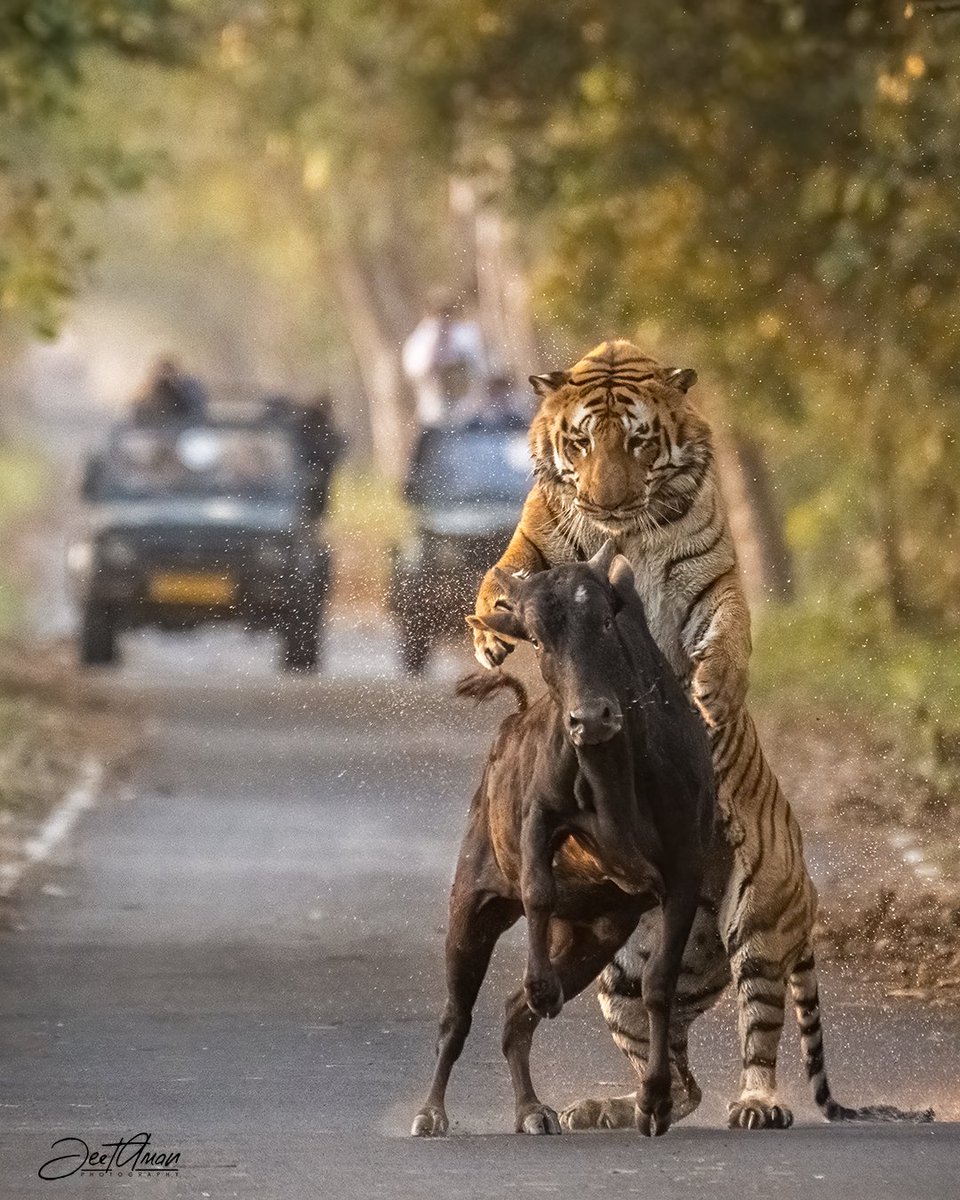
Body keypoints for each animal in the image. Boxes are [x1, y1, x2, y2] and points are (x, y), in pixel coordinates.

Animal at [470, 340, 931, 1132]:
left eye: (638, 442)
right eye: (580, 443)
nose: (609, 504)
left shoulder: (715, 582)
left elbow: (726, 634)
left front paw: (711, 695)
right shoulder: (533, 552)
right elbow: (499, 579)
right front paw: (489, 634)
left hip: (758, 922)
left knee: (757, 1034)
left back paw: (756, 1103)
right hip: (624, 971)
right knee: (678, 1075)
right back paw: (610, 1107)